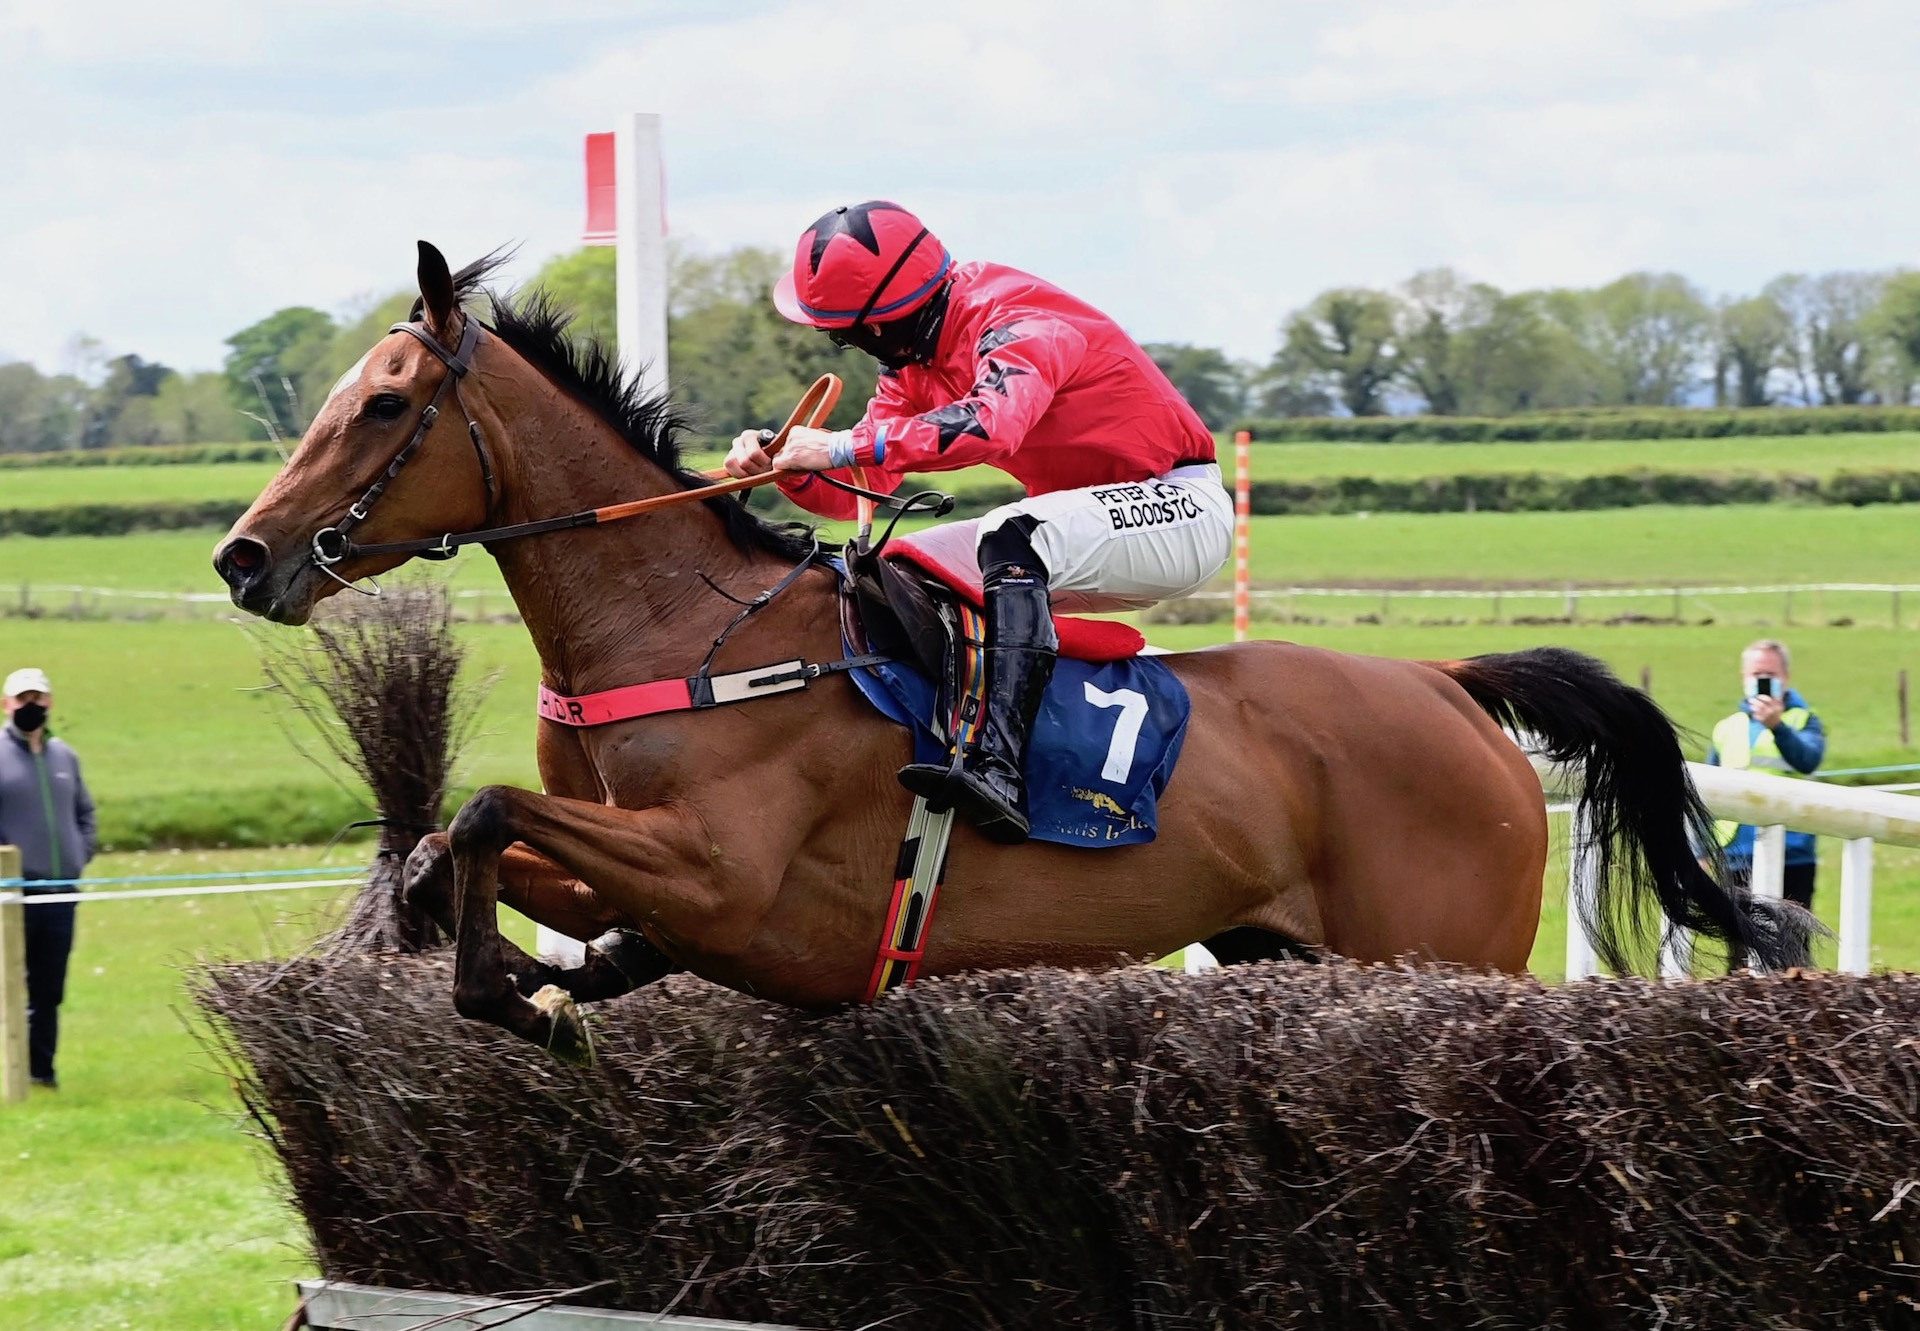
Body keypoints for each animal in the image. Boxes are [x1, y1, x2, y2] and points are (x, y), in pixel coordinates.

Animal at [217, 243, 1804, 1060]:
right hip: (1284, 941)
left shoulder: (730, 874)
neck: (688, 627)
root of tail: (1444, 685)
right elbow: (456, 847)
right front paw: (543, 972)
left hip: (1450, 950)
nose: (243, 557)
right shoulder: (645, 862)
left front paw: (511, 994)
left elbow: (485, 810)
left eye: (385, 402)